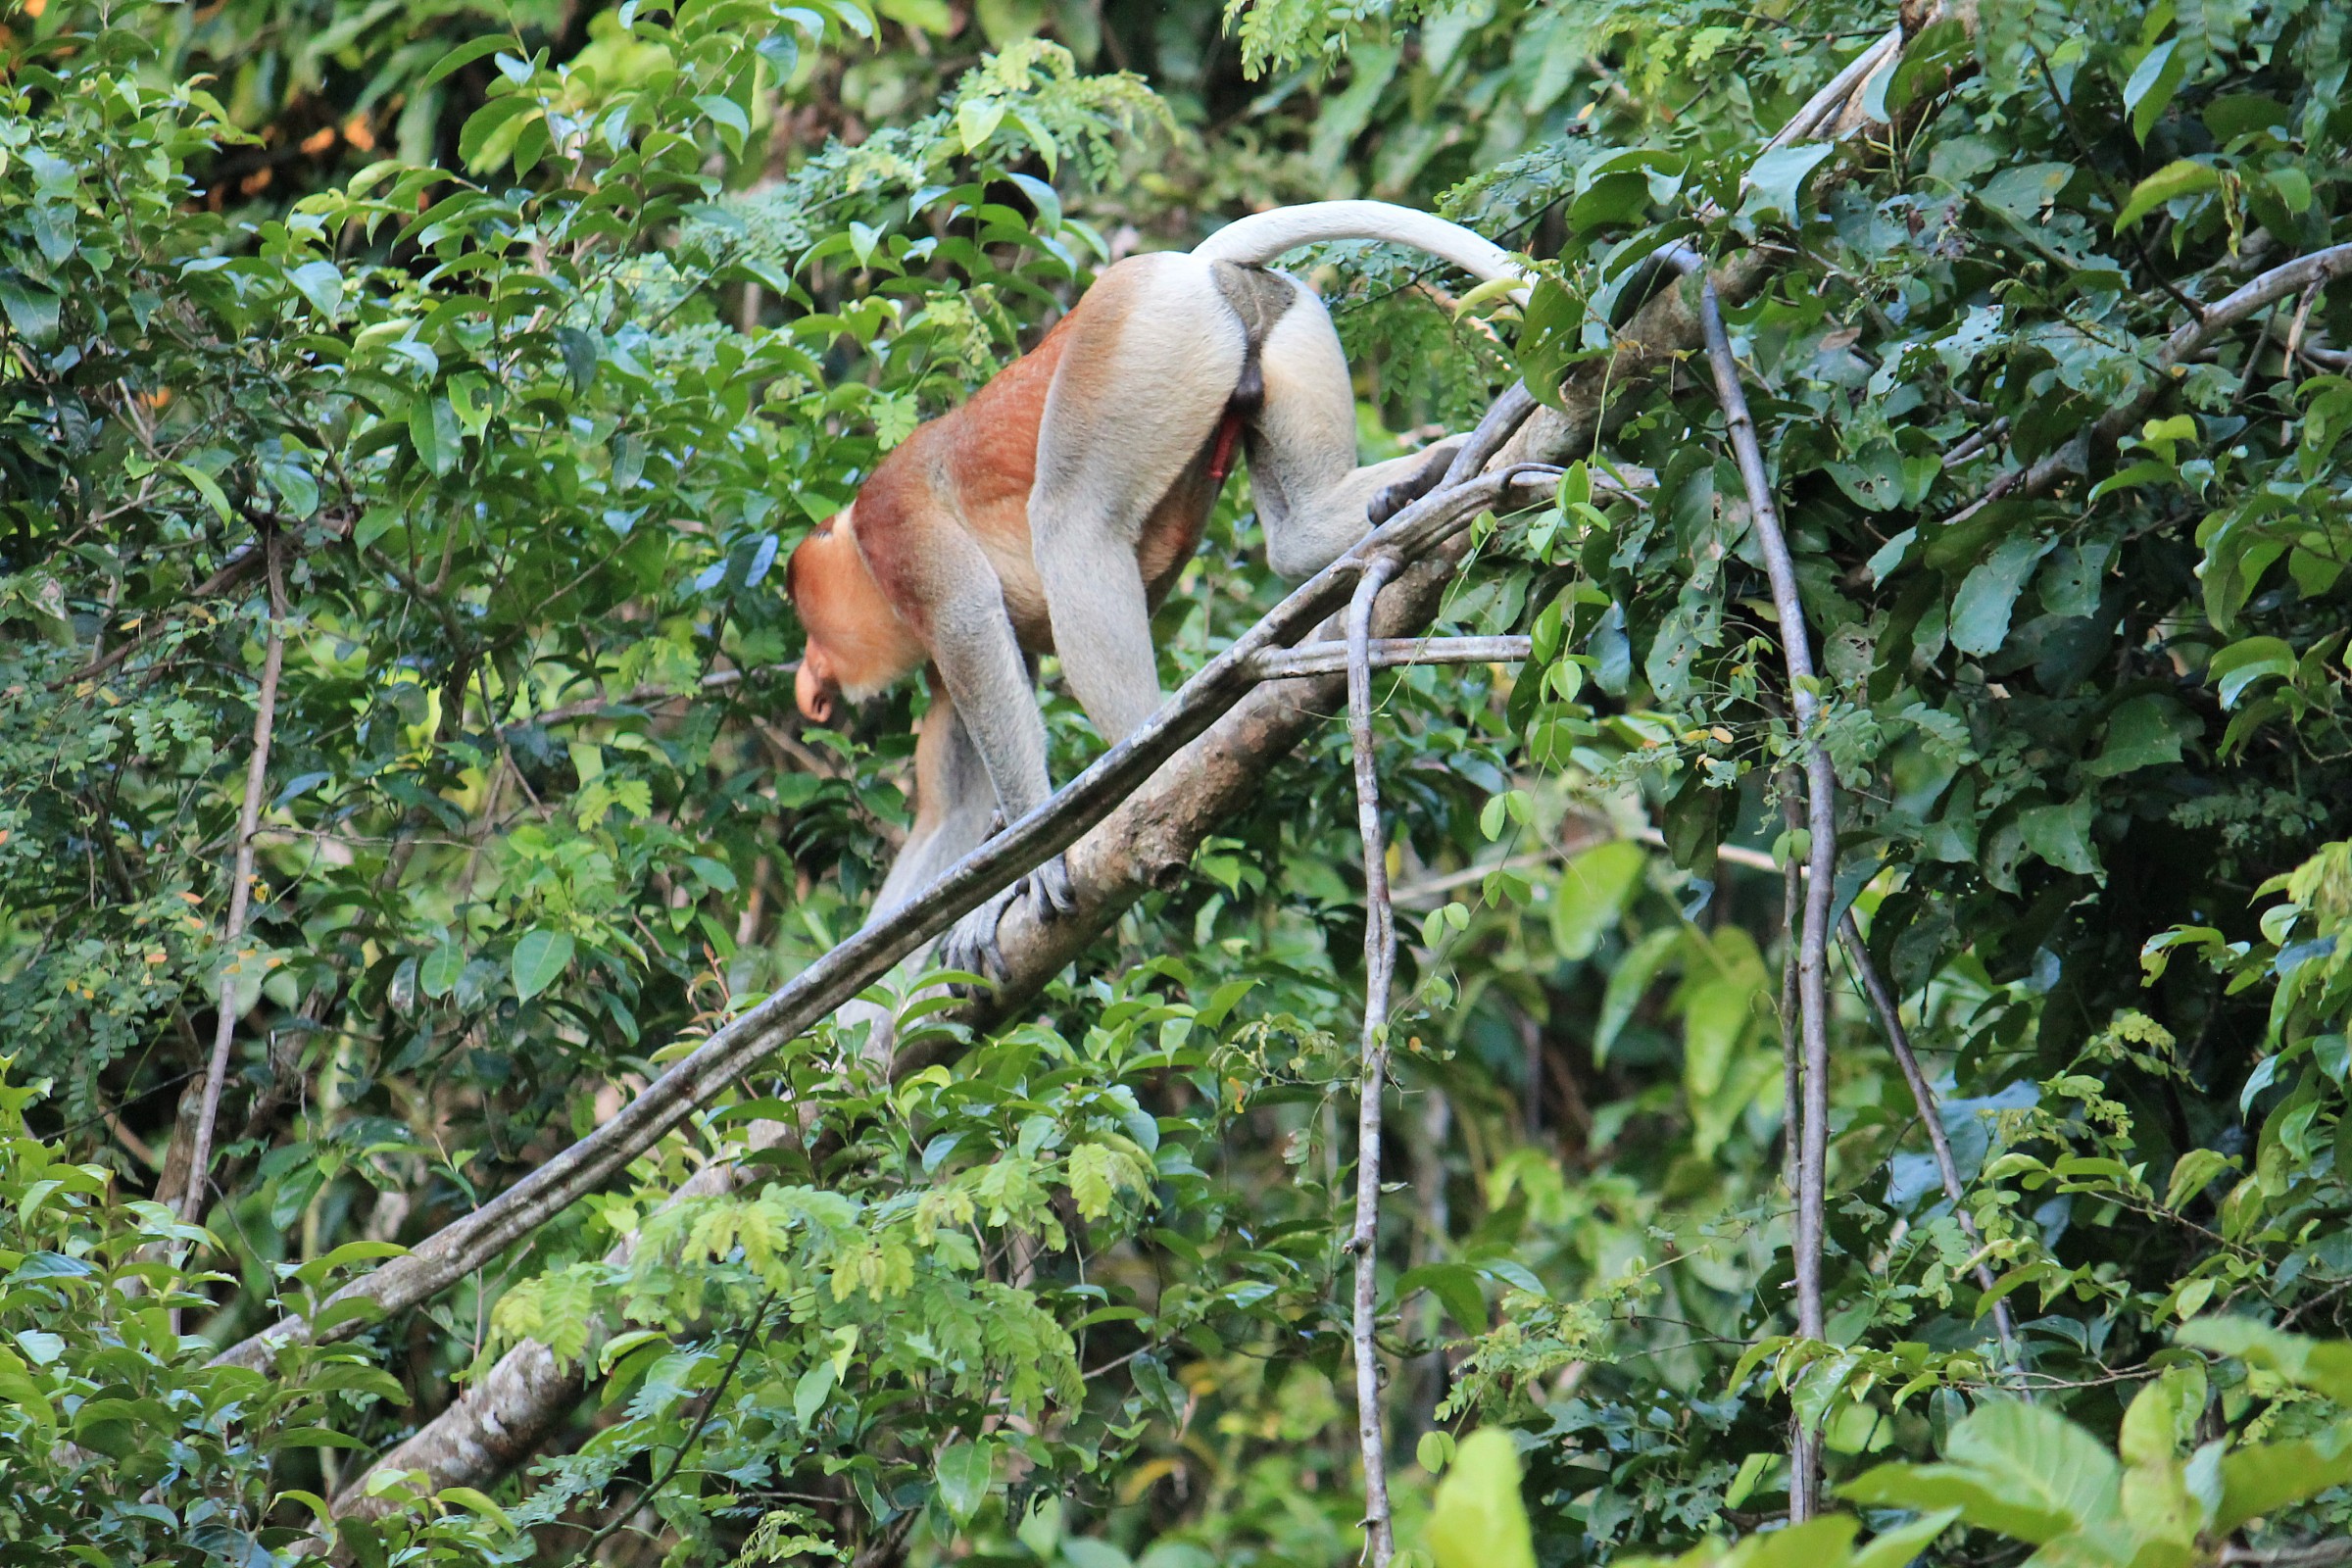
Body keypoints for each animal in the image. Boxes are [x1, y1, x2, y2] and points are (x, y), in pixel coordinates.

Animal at [787, 201, 1531, 976]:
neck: (858, 549)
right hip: (1278, 320)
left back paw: (1146, 775)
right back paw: (1429, 476)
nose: (809, 675)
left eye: (806, 612)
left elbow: (971, 632)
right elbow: (953, 809)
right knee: (1295, 533)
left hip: (1136, 347)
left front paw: (1021, 877)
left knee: (1074, 523)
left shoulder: (901, 537)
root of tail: (1189, 265)